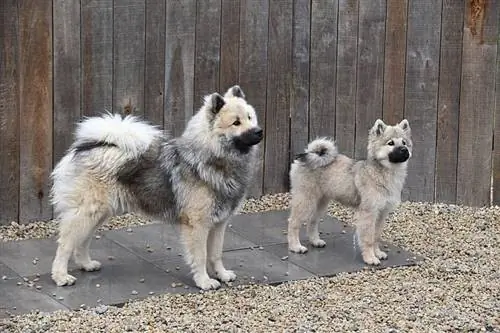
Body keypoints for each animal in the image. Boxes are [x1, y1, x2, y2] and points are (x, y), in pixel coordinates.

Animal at [49, 85, 264, 288]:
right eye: (236, 123)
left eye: (250, 117)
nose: (259, 131)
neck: (210, 158)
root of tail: (87, 147)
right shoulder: (198, 225)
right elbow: (201, 256)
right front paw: (204, 281)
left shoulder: (219, 223)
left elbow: (216, 254)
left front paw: (222, 274)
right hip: (86, 213)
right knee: (65, 244)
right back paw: (60, 276)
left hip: (98, 214)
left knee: (82, 241)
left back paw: (86, 264)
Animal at [288, 118, 412, 264]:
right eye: (391, 143)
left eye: (404, 142)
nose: (404, 150)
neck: (384, 173)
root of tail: (310, 154)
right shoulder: (369, 213)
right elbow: (368, 238)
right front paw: (370, 258)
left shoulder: (381, 213)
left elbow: (376, 236)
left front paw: (377, 253)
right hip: (305, 200)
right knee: (293, 222)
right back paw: (295, 246)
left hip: (321, 203)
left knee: (312, 221)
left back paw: (315, 241)